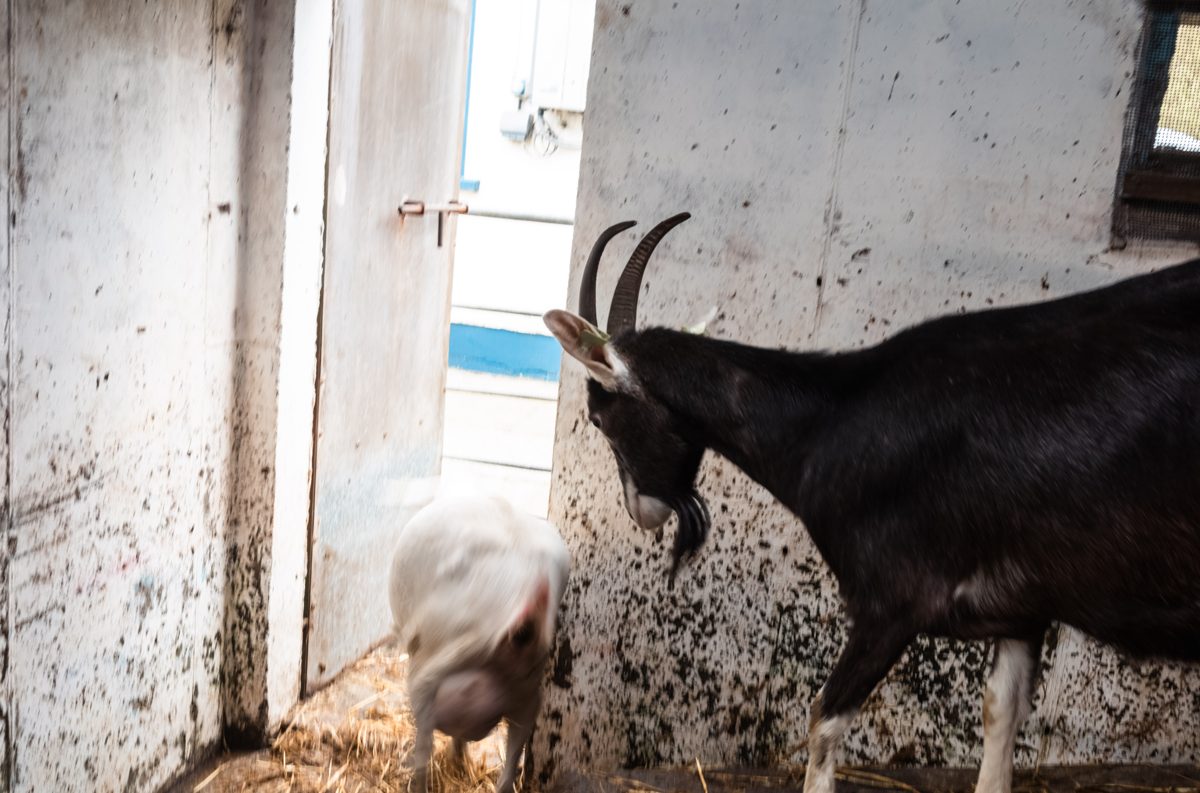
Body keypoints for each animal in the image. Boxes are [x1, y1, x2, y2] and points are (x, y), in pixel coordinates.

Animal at [544, 213, 1200, 793]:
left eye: (600, 418)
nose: (642, 512)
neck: (829, 421)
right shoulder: (1023, 608)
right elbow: (999, 714)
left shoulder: (891, 601)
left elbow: (823, 720)